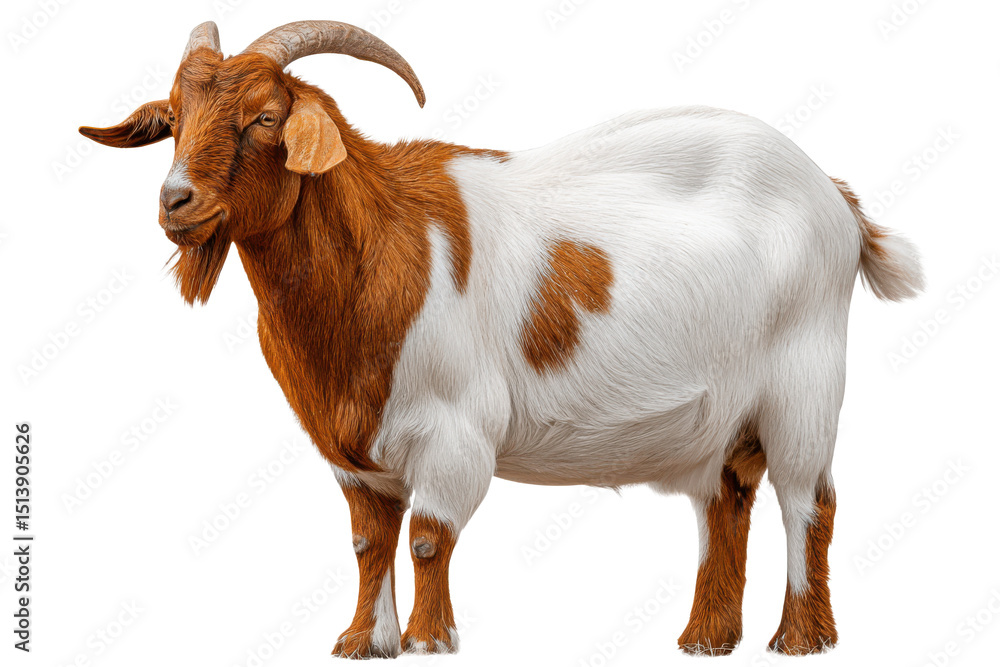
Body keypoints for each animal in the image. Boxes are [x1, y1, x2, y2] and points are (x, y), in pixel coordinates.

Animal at [80, 20, 924, 658]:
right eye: (172, 119)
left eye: (262, 116)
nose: (175, 201)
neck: (379, 248)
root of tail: (835, 196)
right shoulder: (352, 452)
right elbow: (368, 543)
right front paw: (361, 641)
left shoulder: (453, 430)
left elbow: (428, 537)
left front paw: (428, 639)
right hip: (724, 416)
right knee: (727, 501)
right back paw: (706, 638)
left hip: (805, 385)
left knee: (809, 502)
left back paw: (802, 638)